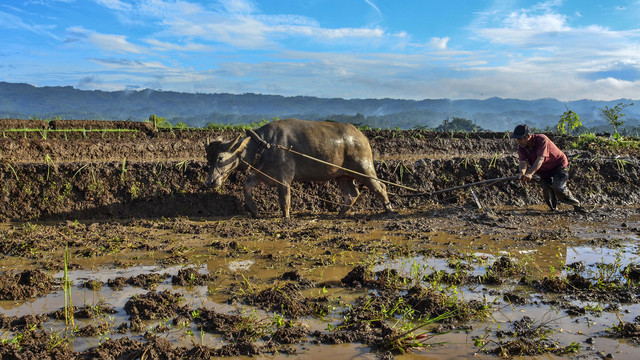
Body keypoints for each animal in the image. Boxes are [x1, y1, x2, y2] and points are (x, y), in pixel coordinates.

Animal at [206, 119, 396, 218]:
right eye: (208, 159)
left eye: (220, 158)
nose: (210, 182)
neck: (263, 145)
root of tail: (361, 136)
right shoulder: (263, 175)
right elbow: (246, 186)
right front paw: (255, 210)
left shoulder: (283, 179)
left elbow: (284, 199)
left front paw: (286, 217)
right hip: (342, 176)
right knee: (352, 194)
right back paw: (342, 212)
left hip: (364, 168)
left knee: (380, 187)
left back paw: (389, 210)